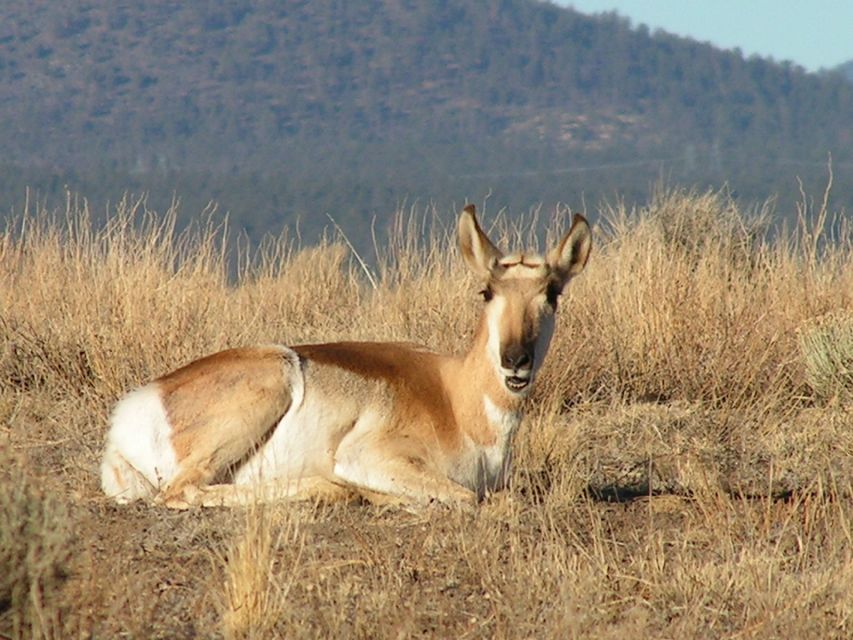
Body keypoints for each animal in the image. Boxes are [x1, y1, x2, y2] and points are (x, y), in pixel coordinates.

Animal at [100, 206, 588, 510]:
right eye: (486, 291)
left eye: (552, 293)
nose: (515, 360)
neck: (455, 397)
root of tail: (136, 407)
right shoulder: (368, 458)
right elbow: (468, 497)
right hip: (272, 381)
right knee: (184, 491)